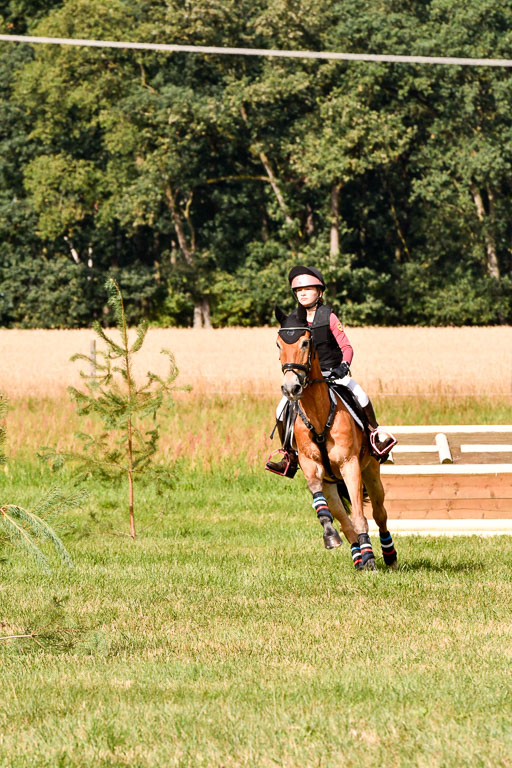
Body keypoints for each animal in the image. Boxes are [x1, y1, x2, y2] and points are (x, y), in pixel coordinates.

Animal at [278, 318, 398, 568]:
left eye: (305, 342)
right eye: (278, 345)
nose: (291, 388)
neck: (318, 414)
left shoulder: (349, 464)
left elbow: (361, 517)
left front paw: (371, 560)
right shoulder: (310, 465)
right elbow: (321, 502)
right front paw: (330, 536)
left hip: (371, 471)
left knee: (379, 514)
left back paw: (388, 555)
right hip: (331, 484)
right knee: (344, 520)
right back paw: (357, 557)